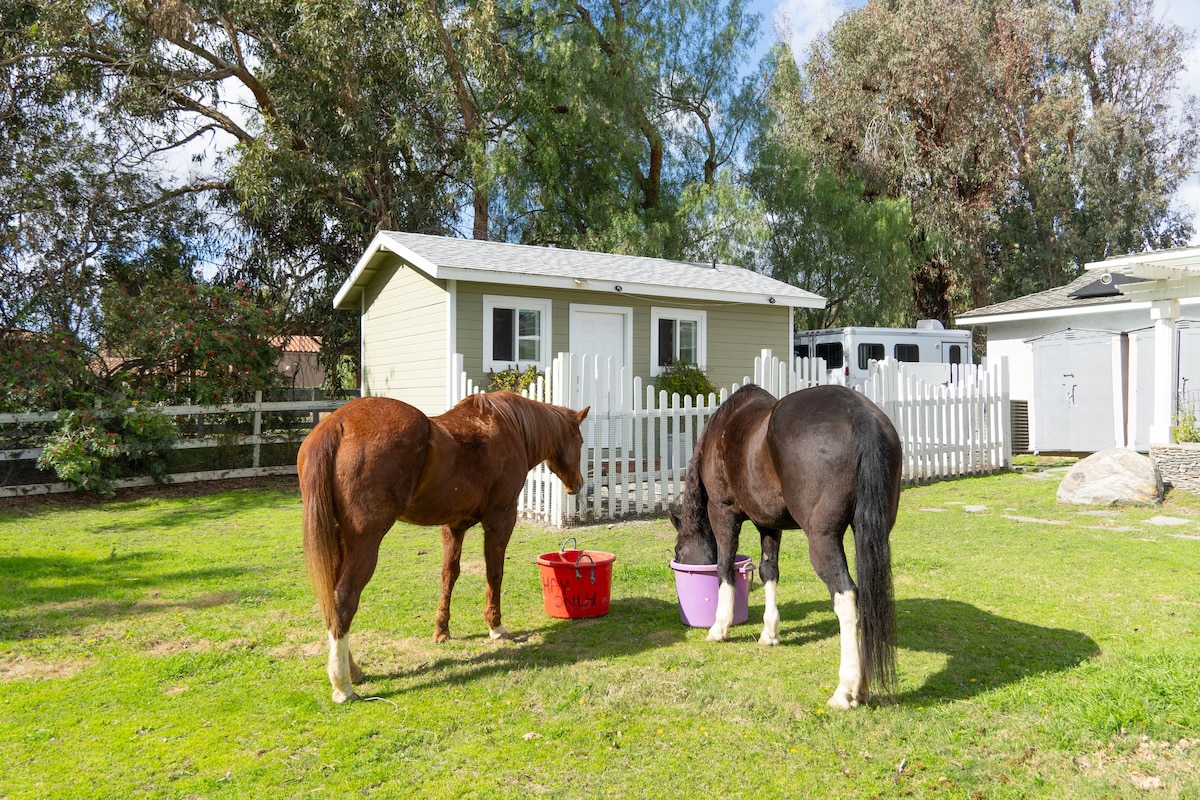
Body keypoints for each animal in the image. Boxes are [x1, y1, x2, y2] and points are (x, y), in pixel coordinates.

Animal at [295, 393, 585, 700]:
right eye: (580, 441)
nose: (578, 484)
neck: (508, 426)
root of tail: (336, 425)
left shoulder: (454, 527)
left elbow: (449, 574)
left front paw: (442, 630)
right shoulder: (501, 519)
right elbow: (494, 573)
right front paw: (495, 626)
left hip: (339, 541)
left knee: (331, 601)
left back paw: (353, 670)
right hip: (365, 542)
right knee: (344, 597)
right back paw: (343, 685)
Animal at [667, 383, 902, 710]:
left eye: (678, 551)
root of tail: (858, 412)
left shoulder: (722, 512)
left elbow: (724, 568)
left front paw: (719, 627)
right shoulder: (768, 523)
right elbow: (769, 571)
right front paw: (770, 633)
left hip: (822, 539)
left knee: (846, 597)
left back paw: (845, 690)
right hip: (873, 532)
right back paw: (864, 687)